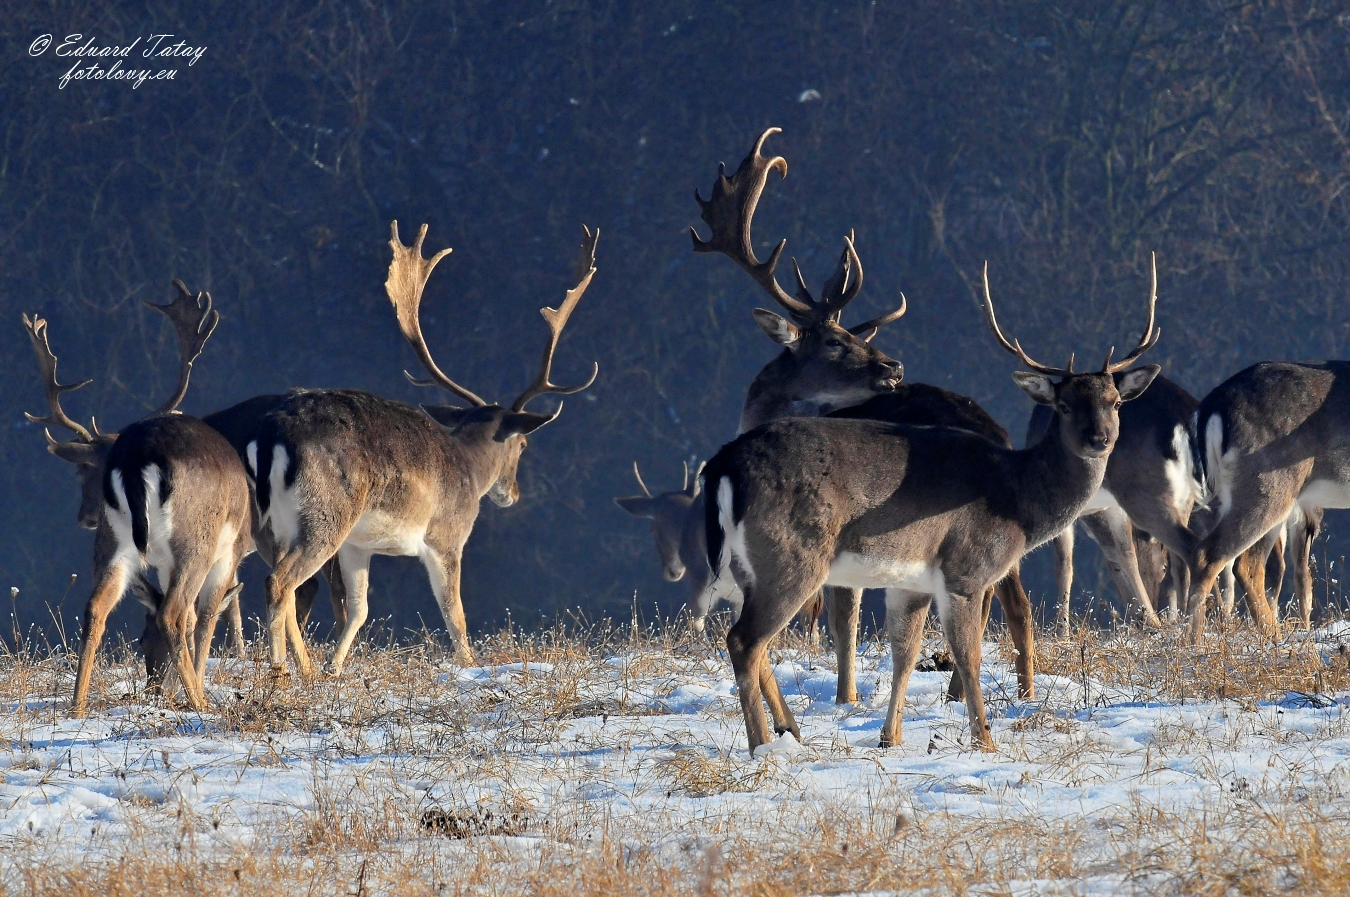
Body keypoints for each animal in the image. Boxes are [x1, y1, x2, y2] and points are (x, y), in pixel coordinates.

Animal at [24, 283, 252, 713]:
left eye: (85, 471)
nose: (83, 516)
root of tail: (134, 459)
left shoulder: (160, 563)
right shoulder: (230, 552)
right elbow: (206, 617)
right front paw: (193, 688)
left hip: (114, 541)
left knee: (96, 606)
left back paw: (77, 706)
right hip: (196, 538)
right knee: (175, 613)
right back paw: (201, 704)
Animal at [251, 220, 599, 675]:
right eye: (523, 444)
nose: (513, 494)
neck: (470, 468)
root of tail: (272, 437)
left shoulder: (359, 544)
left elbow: (359, 610)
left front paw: (335, 669)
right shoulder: (447, 534)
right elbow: (456, 615)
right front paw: (469, 665)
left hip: (277, 524)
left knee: (287, 585)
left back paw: (304, 669)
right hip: (325, 514)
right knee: (280, 582)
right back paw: (280, 673)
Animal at [691, 126, 1036, 702]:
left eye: (850, 334)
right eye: (835, 340)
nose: (894, 365)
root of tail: (998, 431)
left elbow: (842, 618)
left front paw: (846, 697)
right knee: (1015, 599)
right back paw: (1012, 690)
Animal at [702, 263, 1155, 751]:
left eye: (1115, 402)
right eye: (1065, 405)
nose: (1099, 439)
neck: (1017, 497)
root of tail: (724, 464)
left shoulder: (910, 580)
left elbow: (905, 651)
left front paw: (891, 737)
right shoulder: (965, 569)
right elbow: (968, 654)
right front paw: (984, 741)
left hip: (750, 567)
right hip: (793, 556)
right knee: (745, 641)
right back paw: (765, 744)